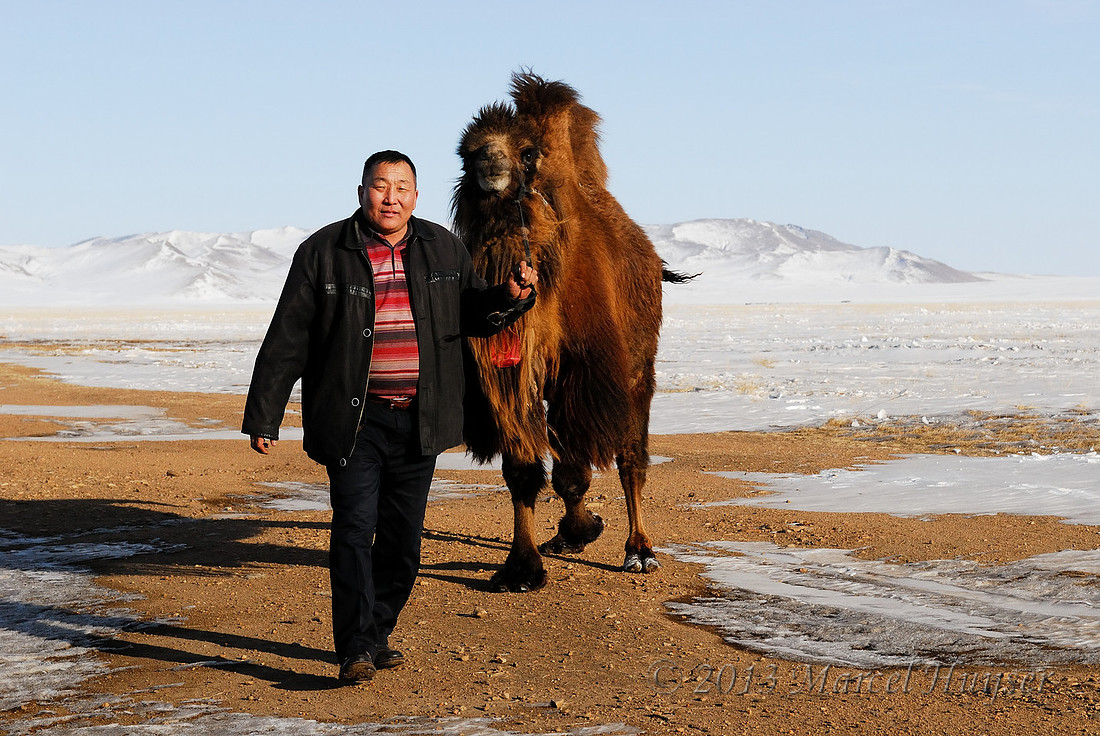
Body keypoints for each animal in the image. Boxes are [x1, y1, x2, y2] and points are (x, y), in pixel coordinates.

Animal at [453, 72, 691, 592]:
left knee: (631, 457)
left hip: (637, 365)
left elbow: (575, 469)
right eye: (466, 151)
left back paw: (639, 550)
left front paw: (582, 531)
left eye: (526, 153)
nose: (489, 161)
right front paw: (523, 567)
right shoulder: (513, 374)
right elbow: (524, 468)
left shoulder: (582, 371)